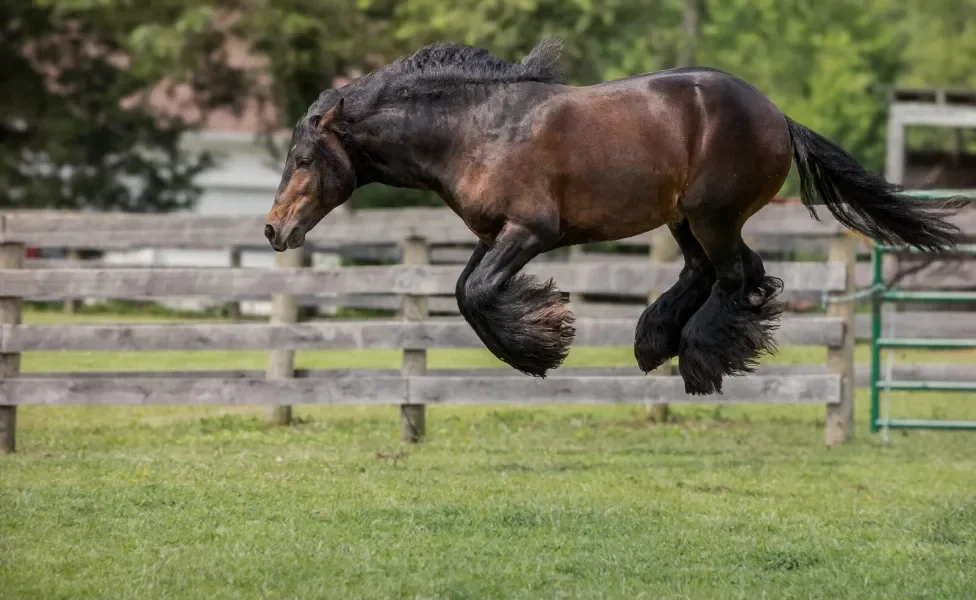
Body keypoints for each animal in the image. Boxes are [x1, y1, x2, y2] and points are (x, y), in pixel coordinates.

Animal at [264, 36, 964, 394]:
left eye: (303, 157)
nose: (274, 229)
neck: (475, 129)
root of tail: (779, 116)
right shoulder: (493, 234)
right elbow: (465, 291)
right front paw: (541, 335)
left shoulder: (531, 231)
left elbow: (478, 294)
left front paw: (541, 346)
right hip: (686, 219)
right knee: (719, 274)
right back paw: (657, 342)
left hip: (713, 214)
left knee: (737, 276)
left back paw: (700, 359)